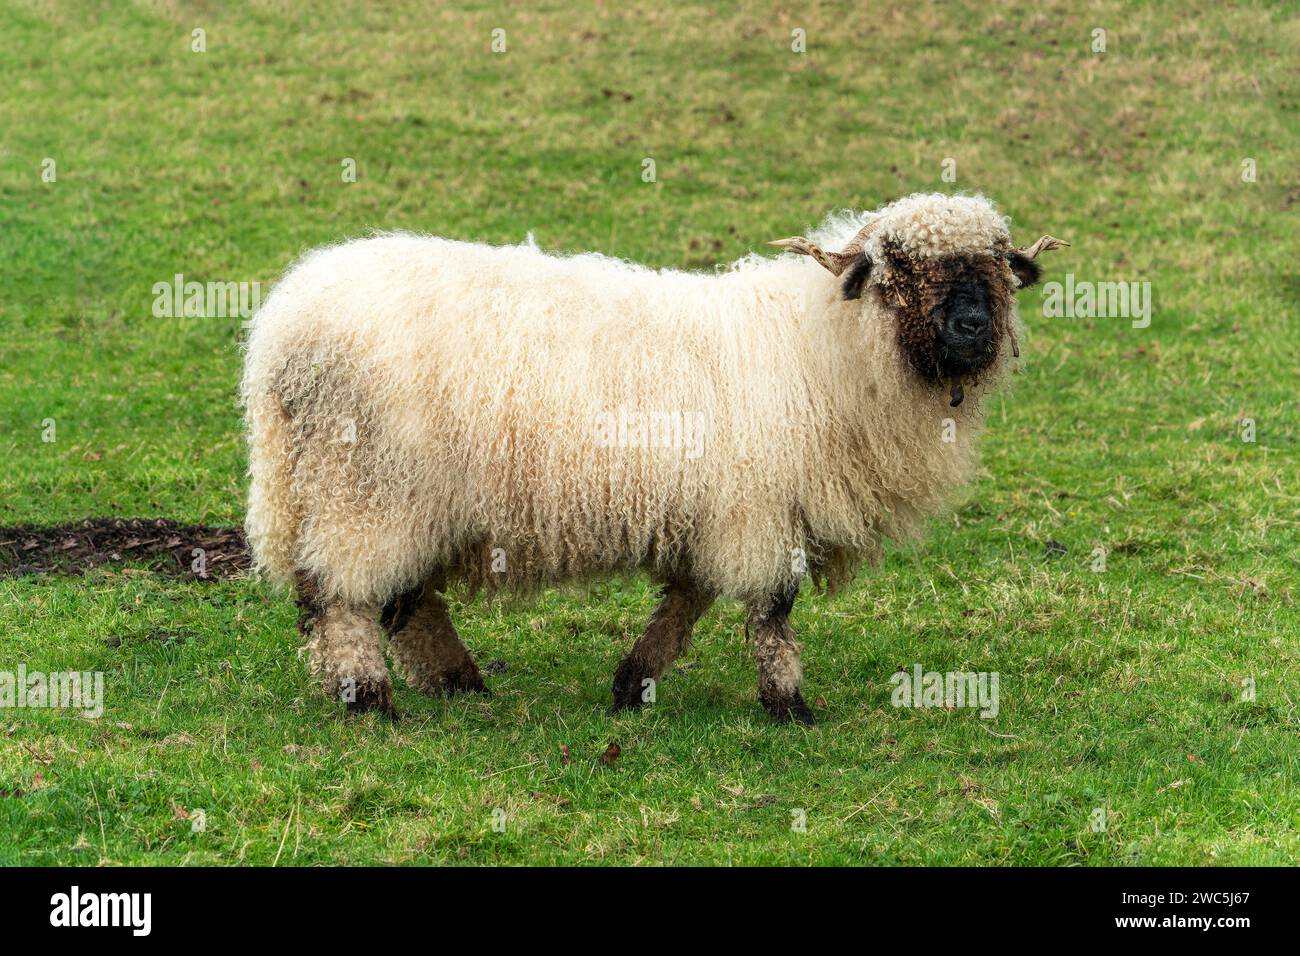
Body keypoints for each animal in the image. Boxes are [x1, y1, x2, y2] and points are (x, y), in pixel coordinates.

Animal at [244, 191, 1066, 723]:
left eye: (996, 268)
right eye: (901, 268)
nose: (972, 328)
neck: (824, 348)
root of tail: (280, 331)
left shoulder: (717, 510)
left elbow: (688, 599)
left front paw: (632, 683)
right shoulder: (758, 508)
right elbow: (771, 611)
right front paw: (790, 705)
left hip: (387, 495)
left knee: (401, 600)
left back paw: (456, 683)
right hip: (368, 487)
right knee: (342, 593)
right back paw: (368, 699)